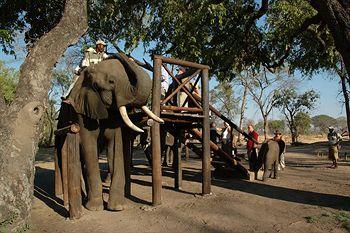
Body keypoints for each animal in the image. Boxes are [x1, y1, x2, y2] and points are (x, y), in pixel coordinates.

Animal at [56, 53, 163, 212]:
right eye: (112, 82)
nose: (115, 53)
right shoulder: (82, 111)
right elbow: (89, 146)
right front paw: (95, 208)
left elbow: (116, 147)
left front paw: (117, 207)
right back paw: (81, 198)